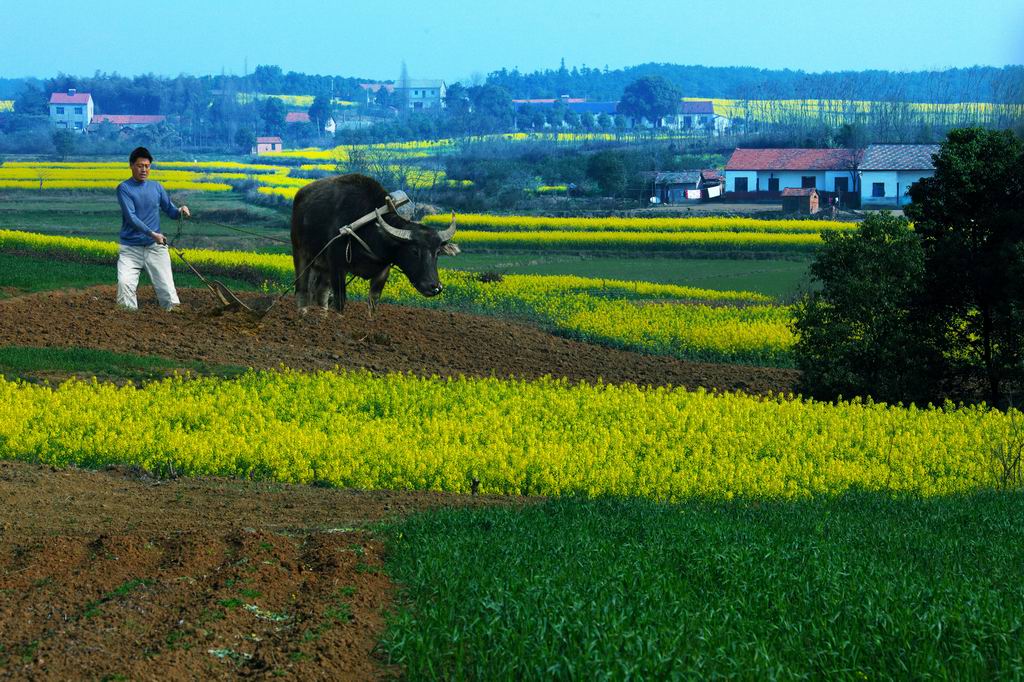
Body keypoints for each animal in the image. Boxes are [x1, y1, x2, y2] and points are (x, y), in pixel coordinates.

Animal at [292, 174, 460, 315]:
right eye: (414, 251)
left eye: (437, 252)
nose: (435, 287)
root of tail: (300, 195)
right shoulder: (337, 267)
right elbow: (340, 303)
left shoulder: (382, 273)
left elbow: (373, 303)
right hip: (301, 254)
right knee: (302, 289)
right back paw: (303, 314)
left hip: (323, 267)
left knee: (320, 292)